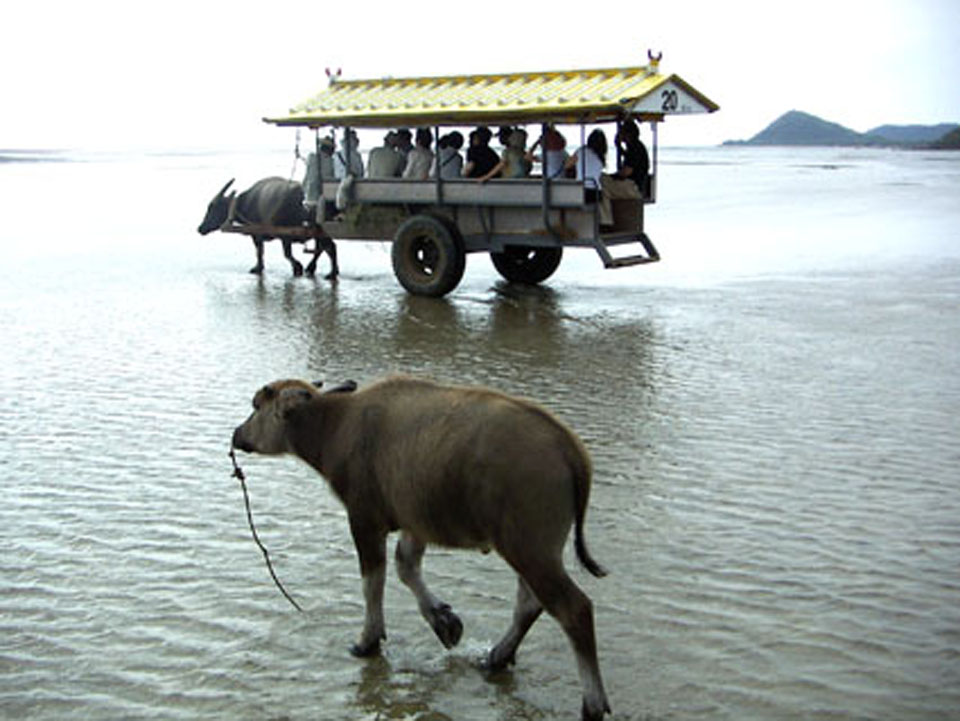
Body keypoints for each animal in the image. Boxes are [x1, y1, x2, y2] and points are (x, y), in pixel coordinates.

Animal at [197, 177, 338, 279]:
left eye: (213, 206)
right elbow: (262, 252)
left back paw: (329, 273)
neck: (245, 204)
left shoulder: (276, 236)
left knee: (329, 248)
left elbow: (277, 253)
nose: (200, 228)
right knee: (325, 248)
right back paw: (316, 269)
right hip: (321, 233)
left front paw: (297, 267)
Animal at [231, 376, 611, 720]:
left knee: (573, 609)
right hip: (532, 549)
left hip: (529, 547)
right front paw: (444, 621)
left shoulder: (364, 520)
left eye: (256, 405)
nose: (237, 434)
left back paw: (592, 704)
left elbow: (373, 582)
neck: (338, 425)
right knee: (531, 602)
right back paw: (496, 657)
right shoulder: (416, 523)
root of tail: (570, 448)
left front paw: (367, 641)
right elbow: (406, 566)